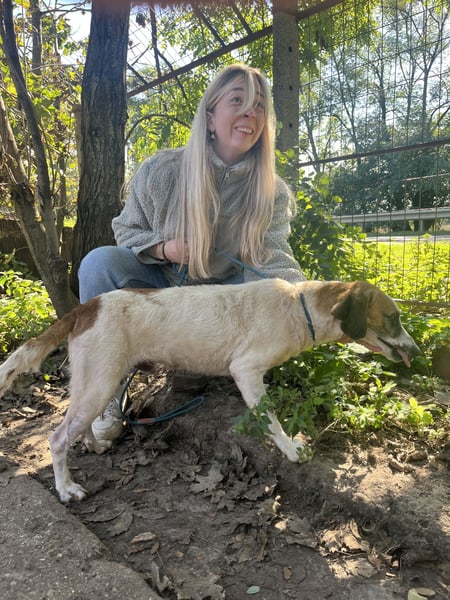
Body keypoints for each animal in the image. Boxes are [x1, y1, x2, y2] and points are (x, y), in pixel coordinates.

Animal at [0, 278, 419, 502]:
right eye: (394, 316)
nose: (416, 352)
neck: (297, 306)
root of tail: (86, 307)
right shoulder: (246, 371)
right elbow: (271, 421)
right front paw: (290, 449)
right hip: (100, 382)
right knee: (56, 438)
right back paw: (66, 487)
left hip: (96, 384)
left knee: (75, 424)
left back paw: (92, 443)